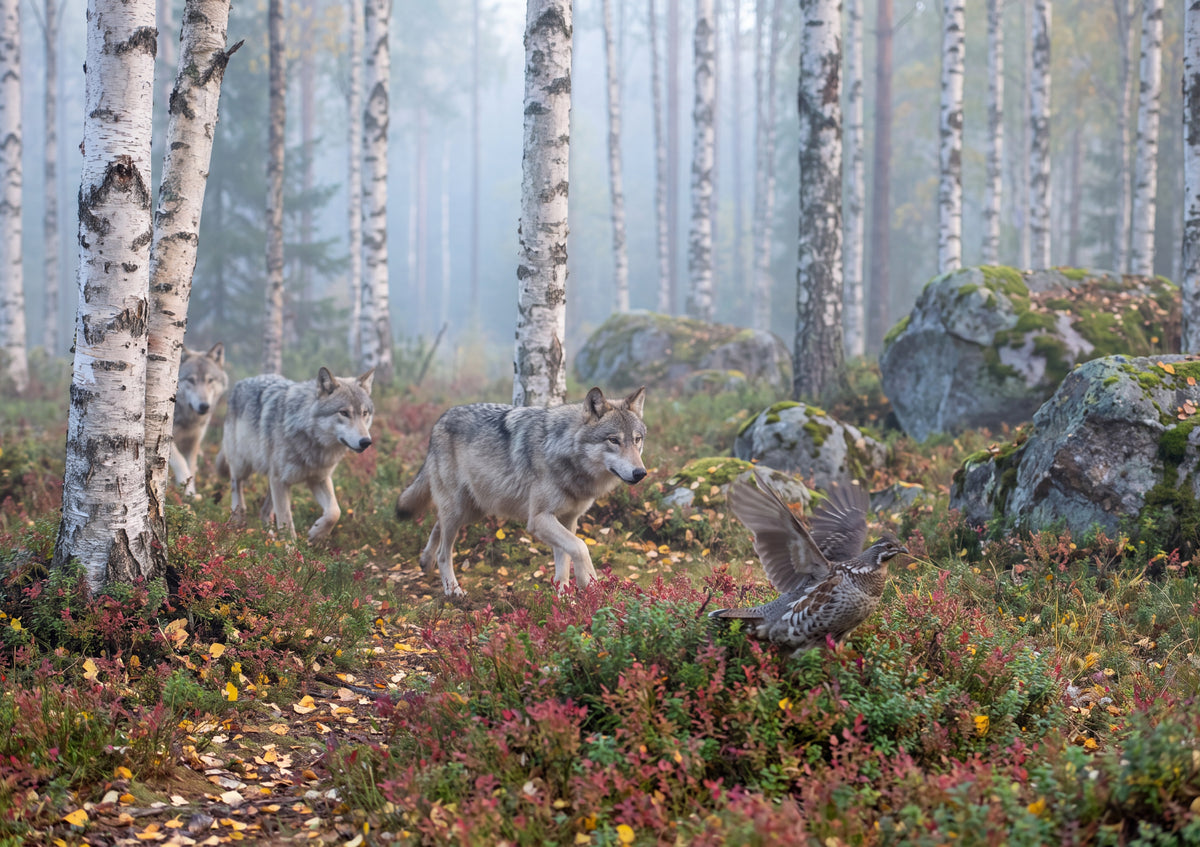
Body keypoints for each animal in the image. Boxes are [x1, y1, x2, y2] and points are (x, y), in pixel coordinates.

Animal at [171, 343, 229, 498]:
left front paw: (190, 494)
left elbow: (191, 468)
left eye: (210, 380)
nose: (204, 406)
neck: (188, 420)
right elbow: (180, 462)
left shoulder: (193, 442)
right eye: (191, 380)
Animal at [217, 367, 375, 543]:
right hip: (243, 466)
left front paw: (316, 534)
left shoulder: (318, 479)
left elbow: (334, 512)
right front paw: (290, 550)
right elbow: (286, 521)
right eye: (344, 413)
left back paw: (269, 538)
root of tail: (241, 382)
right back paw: (237, 519)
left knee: (264, 511)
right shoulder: (280, 480)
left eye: (364, 413)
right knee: (236, 485)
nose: (366, 442)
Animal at [396, 386, 648, 597]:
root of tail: (440, 420)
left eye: (637, 440)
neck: (562, 451)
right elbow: (581, 547)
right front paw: (589, 583)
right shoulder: (538, 519)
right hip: (459, 510)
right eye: (613, 440)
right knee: (444, 552)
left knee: (437, 524)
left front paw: (565, 601)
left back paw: (425, 561)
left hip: (472, 511)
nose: (640, 473)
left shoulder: (568, 520)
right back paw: (452, 589)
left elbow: (564, 562)